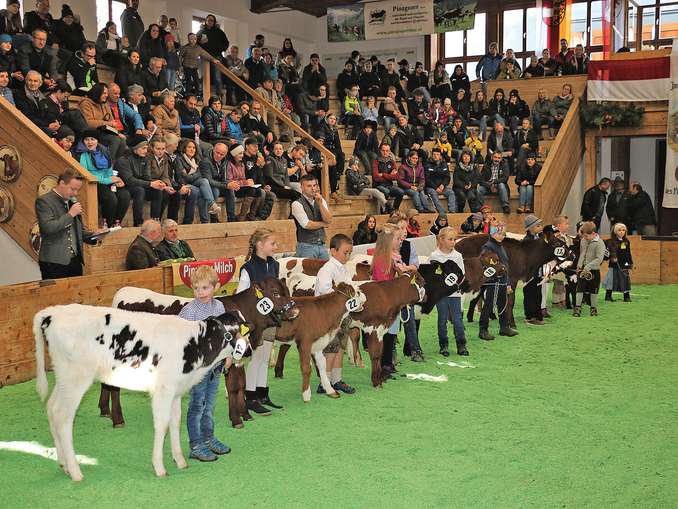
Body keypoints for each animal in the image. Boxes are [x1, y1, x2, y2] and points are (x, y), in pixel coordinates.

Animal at [33, 304, 248, 482]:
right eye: (241, 329)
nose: (248, 351)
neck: (195, 344)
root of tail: (51, 313)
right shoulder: (163, 390)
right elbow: (162, 425)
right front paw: (159, 467)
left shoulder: (175, 392)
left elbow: (175, 422)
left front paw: (179, 460)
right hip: (76, 378)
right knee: (63, 417)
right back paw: (76, 471)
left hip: (64, 378)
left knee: (52, 408)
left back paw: (63, 464)